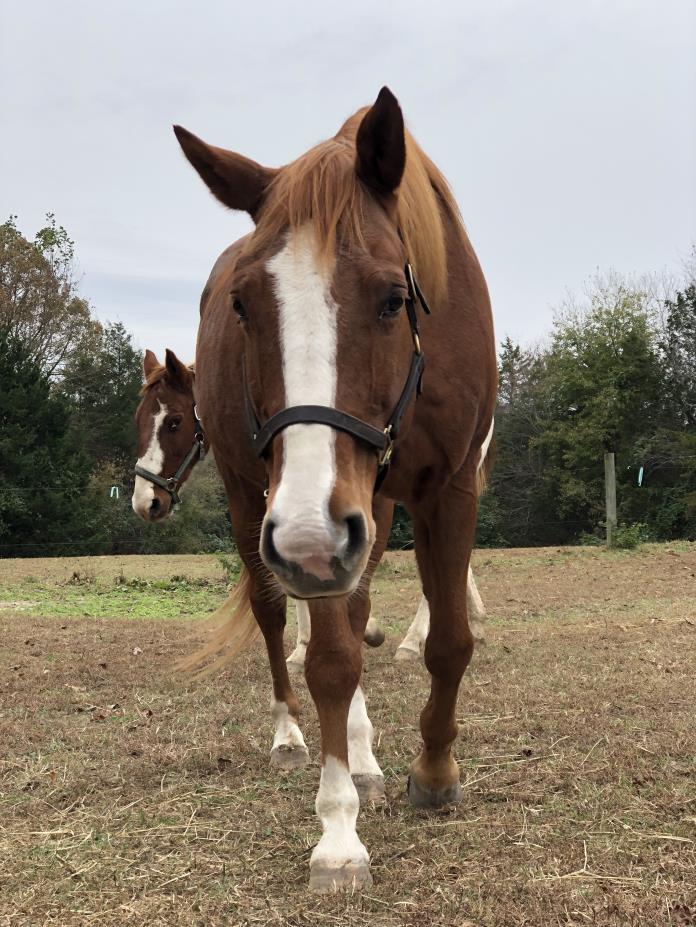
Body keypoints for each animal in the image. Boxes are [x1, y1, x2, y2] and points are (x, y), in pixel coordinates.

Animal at [177, 89, 498, 892]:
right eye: (243, 306)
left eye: (391, 298)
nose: (310, 541)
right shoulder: (305, 528)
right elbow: (329, 660)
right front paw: (338, 830)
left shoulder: (447, 488)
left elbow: (449, 642)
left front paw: (434, 772)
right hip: (257, 503)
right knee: (278, 621)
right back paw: (295, 736)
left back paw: (367, 755)